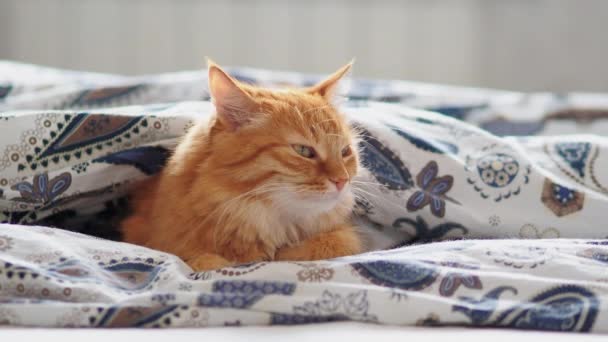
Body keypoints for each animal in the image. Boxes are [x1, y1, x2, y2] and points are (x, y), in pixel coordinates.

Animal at [121, 60, 364, 272]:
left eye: (345, 152)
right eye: (304, 151)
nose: (343, 180)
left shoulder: (341, 236)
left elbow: (335, 243)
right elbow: (205, 262)